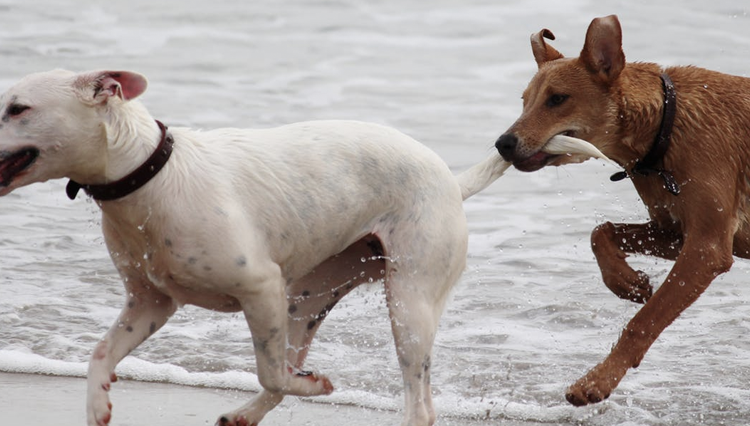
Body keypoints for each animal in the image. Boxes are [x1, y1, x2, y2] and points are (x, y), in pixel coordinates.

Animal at [0, 70, 516, 426]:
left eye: (17, 108)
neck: (153, 175)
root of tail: (451, 181)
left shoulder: (260, 287)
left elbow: (270, 371)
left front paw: (316, 387)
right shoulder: (150, 303)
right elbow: (100, 355)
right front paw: (97, 404)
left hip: (409, 303)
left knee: (417, 403)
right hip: (308, 297)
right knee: (291, 358)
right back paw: (244, 414)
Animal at [496, 15, 750, 408]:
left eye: (557, 99)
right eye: (525, 101)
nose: (503, 144)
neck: (665, 126)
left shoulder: (708, 248)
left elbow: (645, 320)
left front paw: (596, 381)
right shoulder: (676, 232)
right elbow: (601, 231)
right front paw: (627, 282)